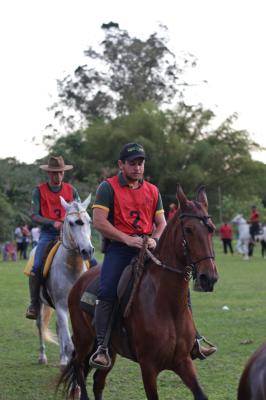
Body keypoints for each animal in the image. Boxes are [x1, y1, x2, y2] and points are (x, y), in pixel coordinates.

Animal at [35, 195, 94, 368]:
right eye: (72, 223)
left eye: (89, 221)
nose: (87, 251)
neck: (71, 268)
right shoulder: (61, 306)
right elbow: (69, 344)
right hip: (40, 304)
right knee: (40, 325)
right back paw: (43, 356)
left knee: (58, 328)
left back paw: (62, 359)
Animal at [58, 185, 218, 400]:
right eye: (189, 230)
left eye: (211, 229)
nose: (208, 278)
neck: (167, 304)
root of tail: (79, 283)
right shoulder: (148, 367)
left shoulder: (183, 361)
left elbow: (200, 393)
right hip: (84, 340)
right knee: (78, 369)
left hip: (111, 350)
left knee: (98, 381)